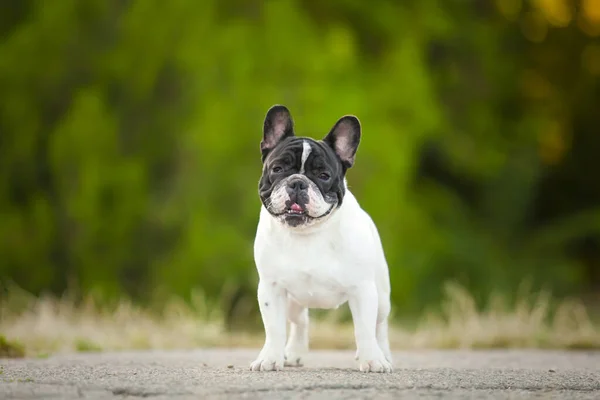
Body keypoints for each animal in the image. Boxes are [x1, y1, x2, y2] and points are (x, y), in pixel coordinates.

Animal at [250, 104, 394, 372]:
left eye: (324, 175)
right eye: (277, 169)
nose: (297, 183)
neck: (308, 232)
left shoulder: (363, 290)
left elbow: (364, 330)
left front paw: (372, 359)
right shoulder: (271, 289)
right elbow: (274, 329)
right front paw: (270, 358)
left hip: (381, 297)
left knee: (380, 326)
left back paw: (384, 355)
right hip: (294, 302)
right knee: (300, 321)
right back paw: (294, 353)